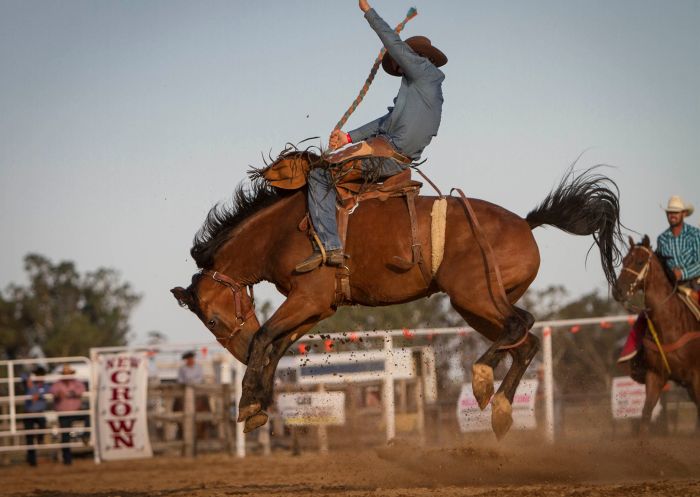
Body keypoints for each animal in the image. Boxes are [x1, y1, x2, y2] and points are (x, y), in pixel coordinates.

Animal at [172, 164, 620, 438]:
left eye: (212, 320)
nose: (239, 350)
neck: (281, 231)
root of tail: (527, 224)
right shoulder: (317, 306)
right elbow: (278, 344)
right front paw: (258, 405)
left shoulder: (308, 297)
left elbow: (267, 337)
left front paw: (248, 402)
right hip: (476, 305)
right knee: (523, 342)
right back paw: (501, 410)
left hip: (475, 295)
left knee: (519, 325)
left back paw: (480, 379)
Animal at [612, 234, 700, 432]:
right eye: (624, 260)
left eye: (639, 262)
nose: (617, 290)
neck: (671, 323)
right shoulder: (655, 375)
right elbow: (645, 414)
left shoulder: (696, 376)